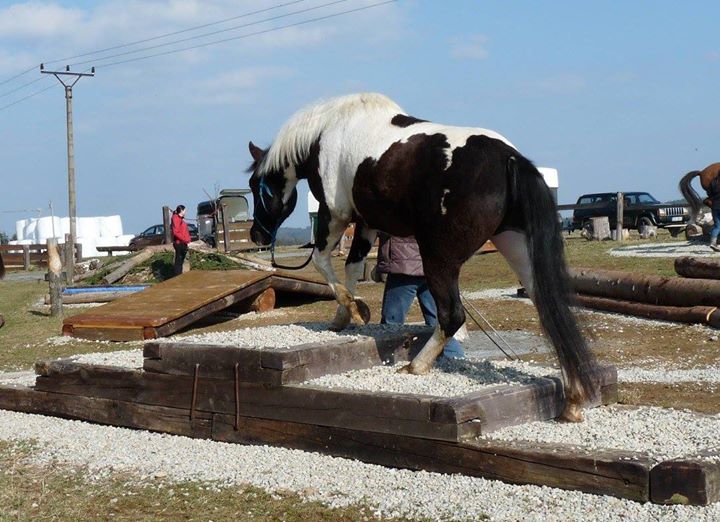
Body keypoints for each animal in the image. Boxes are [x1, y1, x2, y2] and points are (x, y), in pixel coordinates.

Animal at [250, 92, 600, 418]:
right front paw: (346, 315)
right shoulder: (366, 223)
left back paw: (416, 366)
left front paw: (351, 310)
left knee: (453, 316)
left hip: (438, 258)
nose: (257, 235)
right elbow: (352, 267)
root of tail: (510, 159)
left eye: (256, 185)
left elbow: (323, 262)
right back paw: (573, 399)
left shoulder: (334, 213)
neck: (328, 131)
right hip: (516, 249)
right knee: (550, 310)